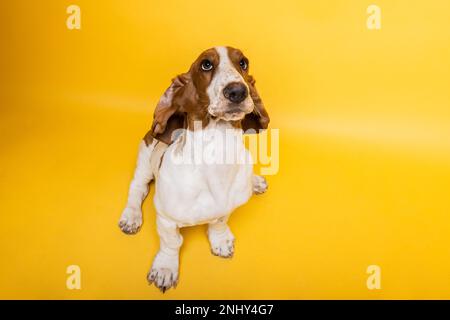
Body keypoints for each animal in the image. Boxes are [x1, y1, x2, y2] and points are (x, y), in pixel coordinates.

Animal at [118, 45, 268, 292]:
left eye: (243, 63)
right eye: (206, 64)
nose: (237, 91)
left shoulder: (225, 210)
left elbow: (218, 223)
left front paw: (221, 241)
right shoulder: (166, 219)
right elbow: (171, 243)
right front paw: (165, 268)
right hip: (145, 161)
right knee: (137, 188)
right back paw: (131, 216)